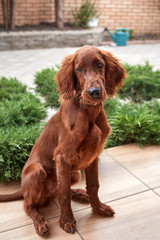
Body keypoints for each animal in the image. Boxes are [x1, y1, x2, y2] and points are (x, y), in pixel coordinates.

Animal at [0, 45, 126, 236]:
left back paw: (80, 194)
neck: (88, 111)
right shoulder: (62, 157)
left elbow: (93, 185)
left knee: (59, 190)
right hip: (36, 171)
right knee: (29, 206)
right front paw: (66, 221)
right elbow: (64, 194)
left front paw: (98, 208)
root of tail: (22, 189)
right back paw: (40, 223)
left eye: (100, 64)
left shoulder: (93, 155)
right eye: (78, 69)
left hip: (75, 173)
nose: (94, 92)